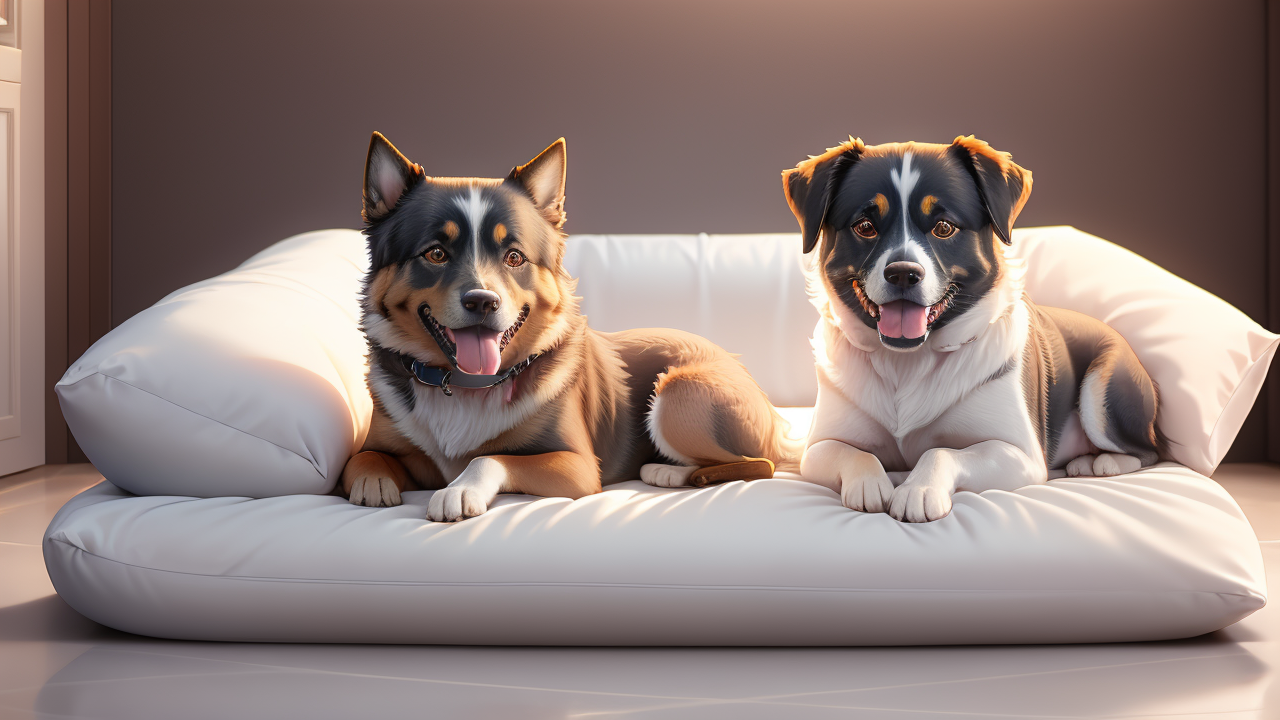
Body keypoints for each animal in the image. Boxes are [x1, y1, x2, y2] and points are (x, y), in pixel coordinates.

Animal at [345, 133, 793, 515]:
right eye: (436, 253)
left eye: (514, 257)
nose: (482, 301)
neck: (465, 386)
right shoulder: (399, 449)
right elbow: (363, 457)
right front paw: (373, 481)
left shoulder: (576, 466)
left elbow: (489, 457)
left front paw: (459, 489)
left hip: (680, 393)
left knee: (760, 463)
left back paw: (668, 470)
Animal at [783, 134, 1167, 517]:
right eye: (865, 227)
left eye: (943, 228)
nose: (903, 273)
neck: (907, 361)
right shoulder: (816, 449)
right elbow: (853, 453)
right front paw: (871, 483)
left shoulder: (1019, 454)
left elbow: (941, 452)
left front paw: (918, 489)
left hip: (1105, 387)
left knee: (1148, 450)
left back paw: (1098, 462)